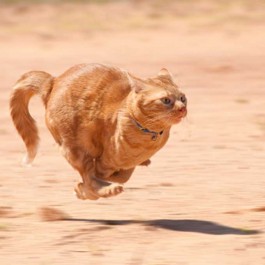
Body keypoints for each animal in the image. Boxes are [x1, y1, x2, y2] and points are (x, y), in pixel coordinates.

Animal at [9, 64, 186, 199]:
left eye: (183, 98)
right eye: (166, 100)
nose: (182, 109)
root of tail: (53, 81)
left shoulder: (126, 164)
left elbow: (124, 175)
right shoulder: (104, 159)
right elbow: (97, 175)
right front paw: (84, 190)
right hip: (75, 147)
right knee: (89, 178)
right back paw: (105, 190)